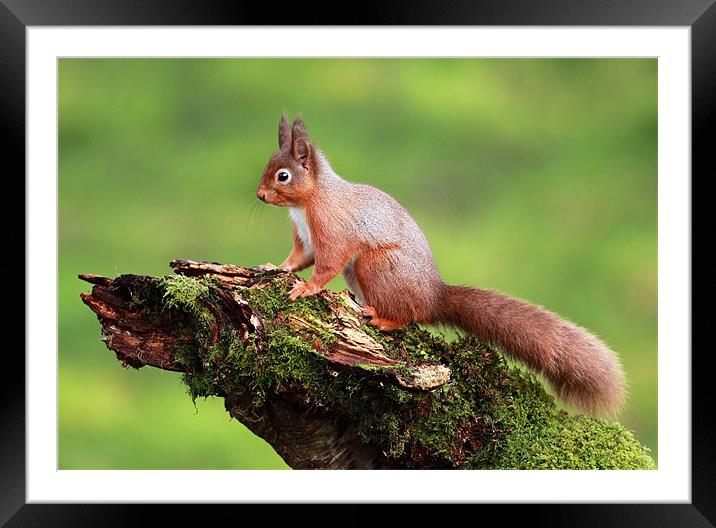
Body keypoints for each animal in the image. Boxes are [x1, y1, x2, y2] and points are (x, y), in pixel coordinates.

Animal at [258, 112, 628, 416]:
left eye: (283, 175)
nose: (260, 195)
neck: (310, 201)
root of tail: (434, 296)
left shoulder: (334, 230)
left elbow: (327, 263)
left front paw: (307, 288)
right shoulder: (305, 239)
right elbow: (299, 258)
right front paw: (275, 268)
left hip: (375, 265)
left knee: (407, 316)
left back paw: (381, 317)